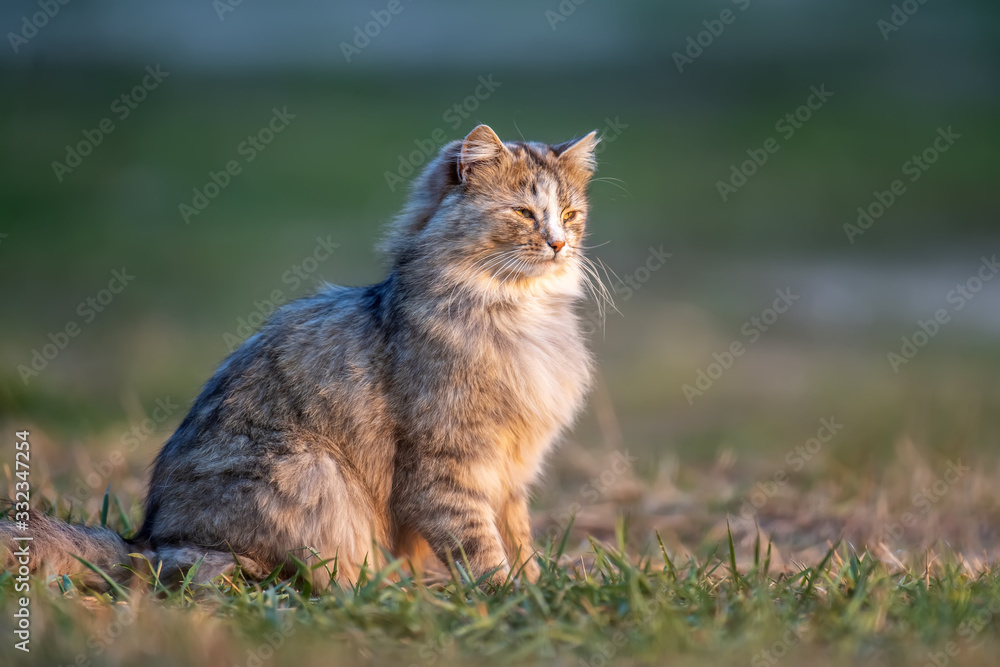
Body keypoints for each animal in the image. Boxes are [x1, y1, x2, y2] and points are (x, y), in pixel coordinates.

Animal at [1, 124, 600, 588]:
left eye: (571, 214)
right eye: (523, 212)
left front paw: (537, 587)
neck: (524, 319)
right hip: (308, 470)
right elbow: (480, 547)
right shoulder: (446, 464)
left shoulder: (512, 472)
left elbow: (518, 538)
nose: (558, 244)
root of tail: (145, 537)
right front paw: (507, 597)